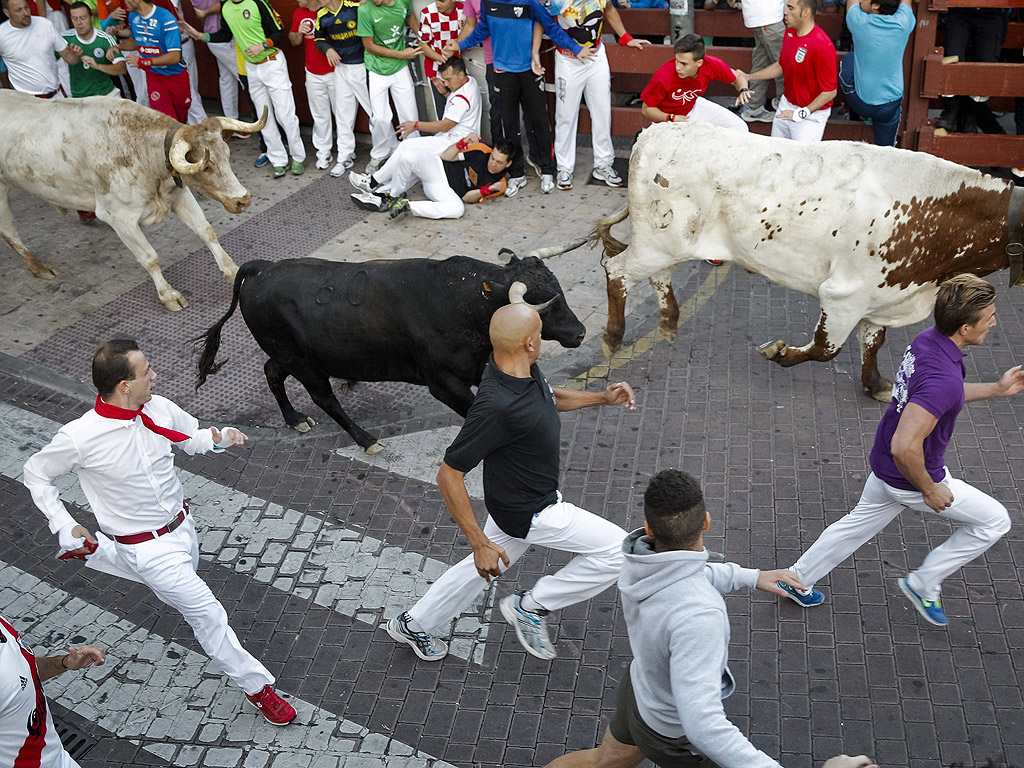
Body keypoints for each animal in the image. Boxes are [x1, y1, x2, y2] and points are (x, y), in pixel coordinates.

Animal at [0, 94, 268, 313]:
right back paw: (38, 266)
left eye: (227, 155)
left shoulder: (179, 195)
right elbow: (150, 257)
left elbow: (207, 231)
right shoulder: (119, 217)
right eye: (207, 166)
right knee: (9, 231)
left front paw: (232, 271)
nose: (243, 200)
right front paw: (168, 294)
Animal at [195, 252, 589, 454]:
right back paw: (366, 440)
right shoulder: (444, 384)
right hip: (304, 363)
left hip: (289, 355)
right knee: (324, 398)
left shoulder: (477, 368)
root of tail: (261, 268)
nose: (580, 332)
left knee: (272, 372)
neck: (462, 301)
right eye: (544, 304)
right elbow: (472, 413)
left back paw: (294, 419)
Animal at [593, 120, 1024, 403]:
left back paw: (668, 322)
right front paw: (779, 352)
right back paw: (613, 337)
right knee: (617, 272)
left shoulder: (881, 296)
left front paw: (876, 385)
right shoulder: (843, 295)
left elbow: (874, 343)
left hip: (668, 242)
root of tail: (656, 131)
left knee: (658, 276)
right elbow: (824, 348)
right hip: (656, 242)